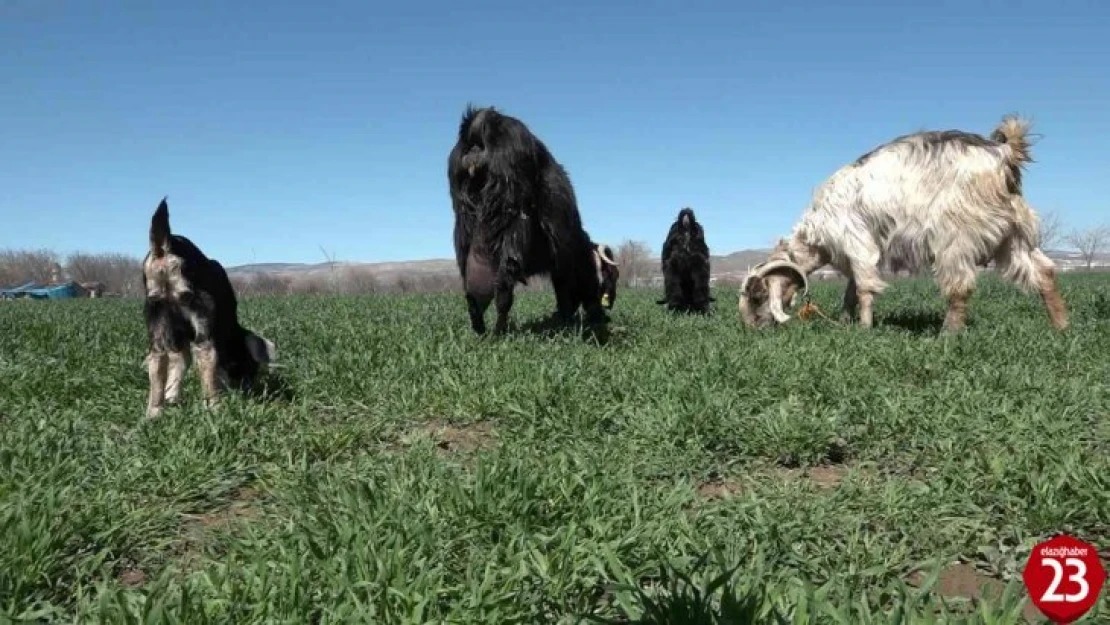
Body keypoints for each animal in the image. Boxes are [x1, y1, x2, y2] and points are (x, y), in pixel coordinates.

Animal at [741, 115, 1070, 335]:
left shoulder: (857, 242)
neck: (815, 235)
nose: (752, 327)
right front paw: (846, 322)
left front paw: (864, 329)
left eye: (757, 296)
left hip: (957, 235)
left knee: (960, 287)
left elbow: (864, 288)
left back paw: (946, 336)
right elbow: (851, 290)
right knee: (1044, 272)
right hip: (1014, 236)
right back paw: (1061, 327)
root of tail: (1003, 154)